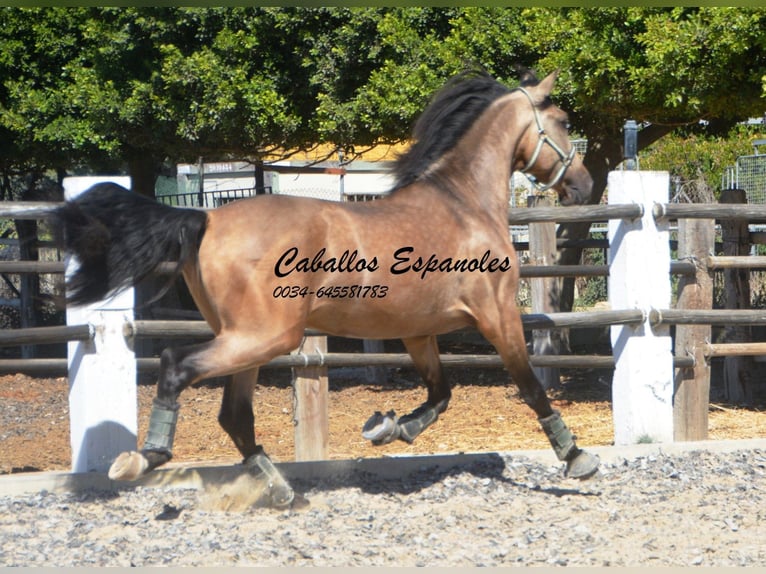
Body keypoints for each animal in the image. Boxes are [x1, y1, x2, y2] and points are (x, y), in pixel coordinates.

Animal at [57, 68, 604, 508]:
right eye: (563, 122)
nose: (584, 186)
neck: (463, 204)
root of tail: (205, 217)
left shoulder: (417, 331)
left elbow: (440, 394)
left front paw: (388, 427)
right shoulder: (497, 316)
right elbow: (530, 386)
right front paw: (577, 457)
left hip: (246, 339)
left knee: (234, 416)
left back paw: (279, 488)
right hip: (266, 336)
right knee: (176, 366)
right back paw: (143, 458)